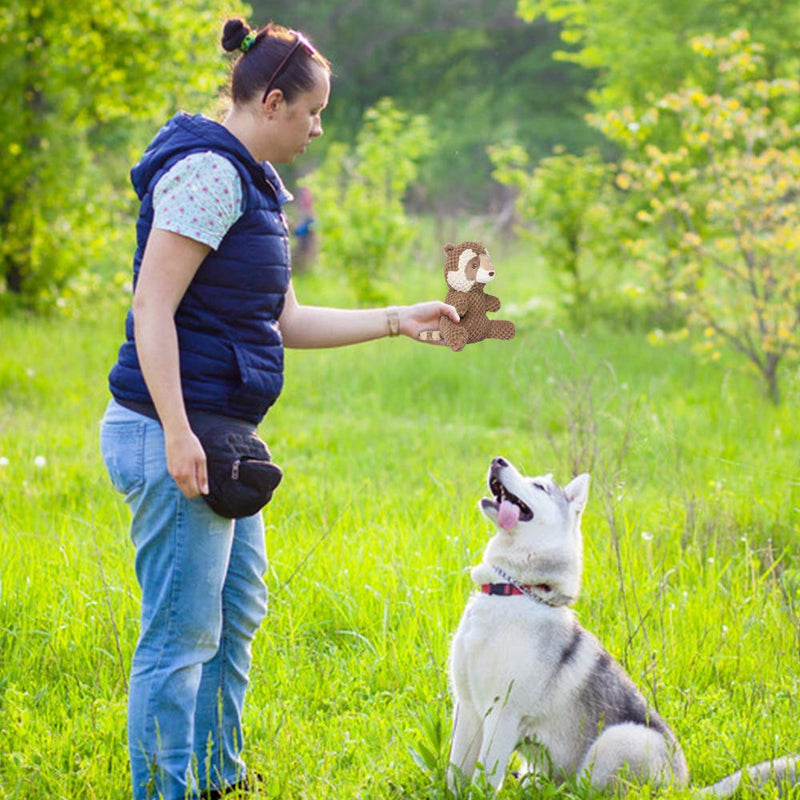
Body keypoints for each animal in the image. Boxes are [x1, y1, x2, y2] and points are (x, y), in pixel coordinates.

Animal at [446, 456, 796, 792]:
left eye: (540, 486)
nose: (498, 460)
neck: (512, 589)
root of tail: (685, 788)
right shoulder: (468, 708)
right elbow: (455, 773)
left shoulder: (503, 713)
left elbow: (483, 780)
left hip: (619, 739)